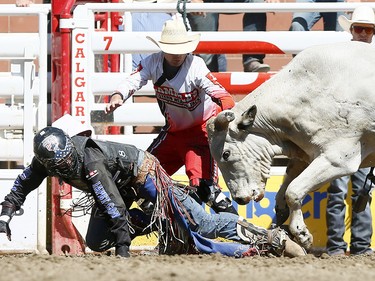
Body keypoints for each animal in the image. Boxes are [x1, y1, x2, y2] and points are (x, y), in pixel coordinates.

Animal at [207, 40, 375, 248]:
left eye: (226, 154)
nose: (239, 198)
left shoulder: (338, 159)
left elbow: (293, 191)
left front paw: (301, 233)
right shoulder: (304, 156)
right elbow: (284, 191)